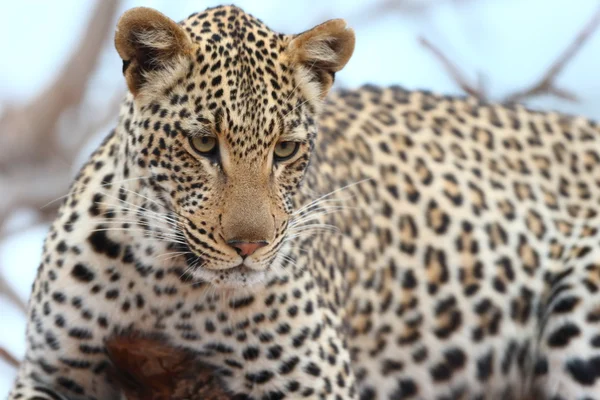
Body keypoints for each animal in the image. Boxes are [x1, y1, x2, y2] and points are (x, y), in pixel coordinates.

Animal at [7, 3, 600, 400]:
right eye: (203, 144)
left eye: (286, 149)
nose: (250, 246)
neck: (166, 285)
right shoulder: (52, 371)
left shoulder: (314, 381)